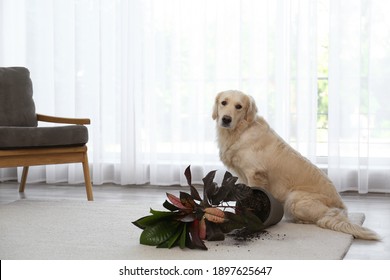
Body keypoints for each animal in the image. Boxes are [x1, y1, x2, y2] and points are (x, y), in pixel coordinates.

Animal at [213, 90, 380, 241]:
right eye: (223, 102)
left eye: (239, 106)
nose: (226, 119)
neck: (241, 130)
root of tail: (343, 210)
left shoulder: (255, 174)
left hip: (294, 198)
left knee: (319, 220)